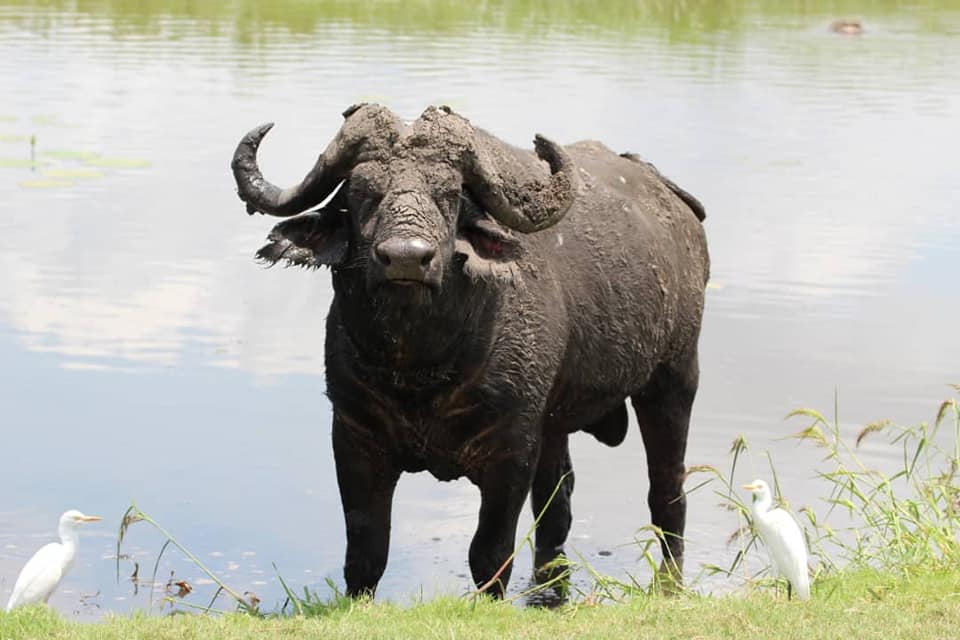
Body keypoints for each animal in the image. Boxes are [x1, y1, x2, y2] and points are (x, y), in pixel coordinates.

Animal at [230, 105, 708, 600]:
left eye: (450, 194)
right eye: (362, 193)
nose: (406, 258)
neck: (419, 370)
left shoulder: (512, 450)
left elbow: (490, 554)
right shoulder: (352, 438)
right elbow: (365, 552)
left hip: (674, 377)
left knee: (667, 486)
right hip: (556, 421)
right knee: (558, 501)